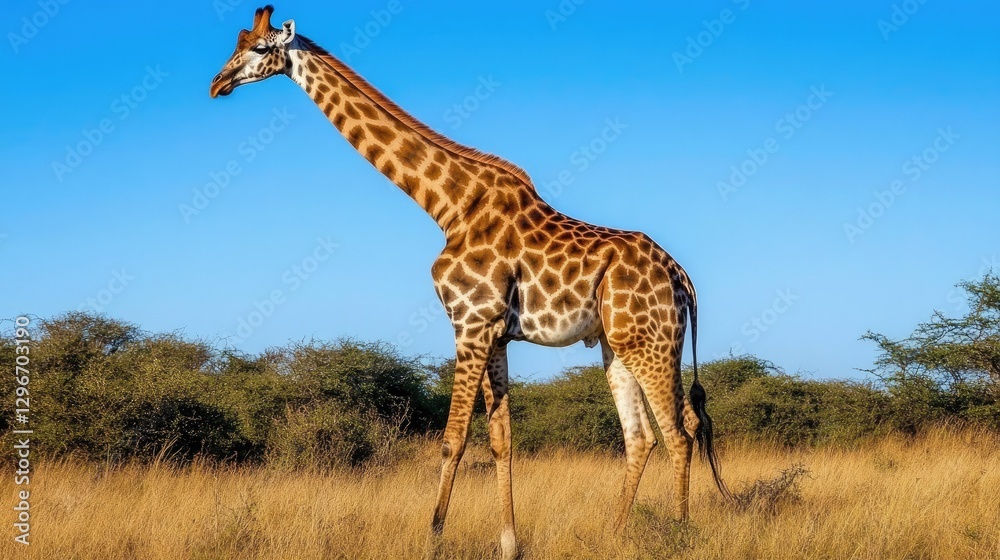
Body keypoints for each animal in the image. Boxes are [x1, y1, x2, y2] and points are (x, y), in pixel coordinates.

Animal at [210, 6, 733, 559]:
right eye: (236, 44)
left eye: (259, 48)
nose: (217, 84)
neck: (448, 206)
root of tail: (682, 278)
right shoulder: (494, 333)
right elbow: (501, 439)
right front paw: (509, 541)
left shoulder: (469, 321)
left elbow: (453, 437)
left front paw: (433, 537)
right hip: (618, 345)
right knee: (642, 436)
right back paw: (614, 534)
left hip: (651, 342)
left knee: (680, 431)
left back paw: (678, 533)